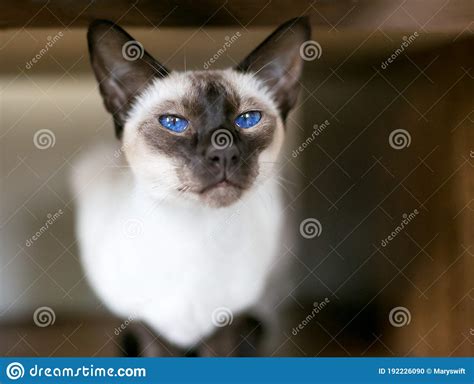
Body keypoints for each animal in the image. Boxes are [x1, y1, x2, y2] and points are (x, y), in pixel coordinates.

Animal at [72, 17, 312, 354]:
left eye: (248, 120)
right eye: (174, 123)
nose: (223, 151)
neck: (198, 232)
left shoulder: (226, 325)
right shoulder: (146, 324)